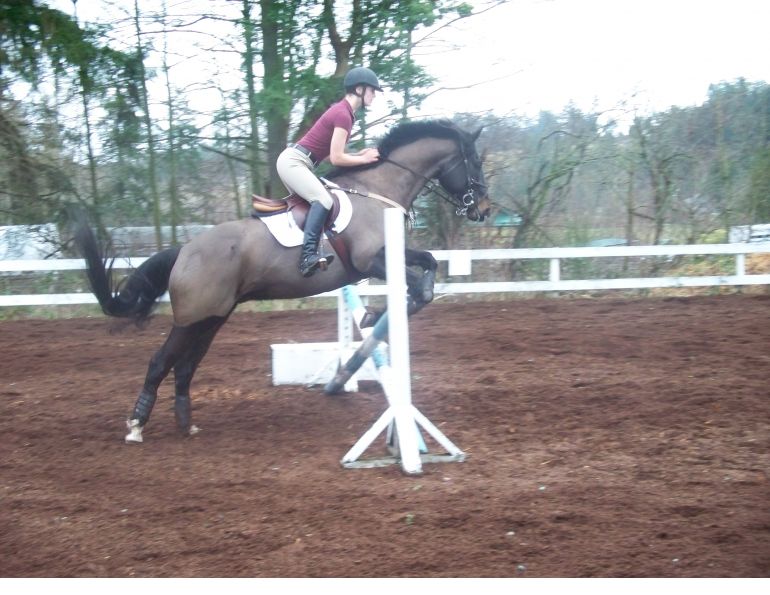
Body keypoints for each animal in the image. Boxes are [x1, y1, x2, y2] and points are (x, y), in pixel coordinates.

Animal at [74, 119, 490, 442]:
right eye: (474, 161)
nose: (483, 209)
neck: (379, 189)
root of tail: (184, 252)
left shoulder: (385, 258)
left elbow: (428, 265)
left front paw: (373, 322)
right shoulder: (371, 261)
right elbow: (417, 286)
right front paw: (375, 318)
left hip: (213, 318)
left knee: (186, 366)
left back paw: (185, 424)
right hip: (191, 319)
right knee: (161, 362)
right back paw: (136, 425)